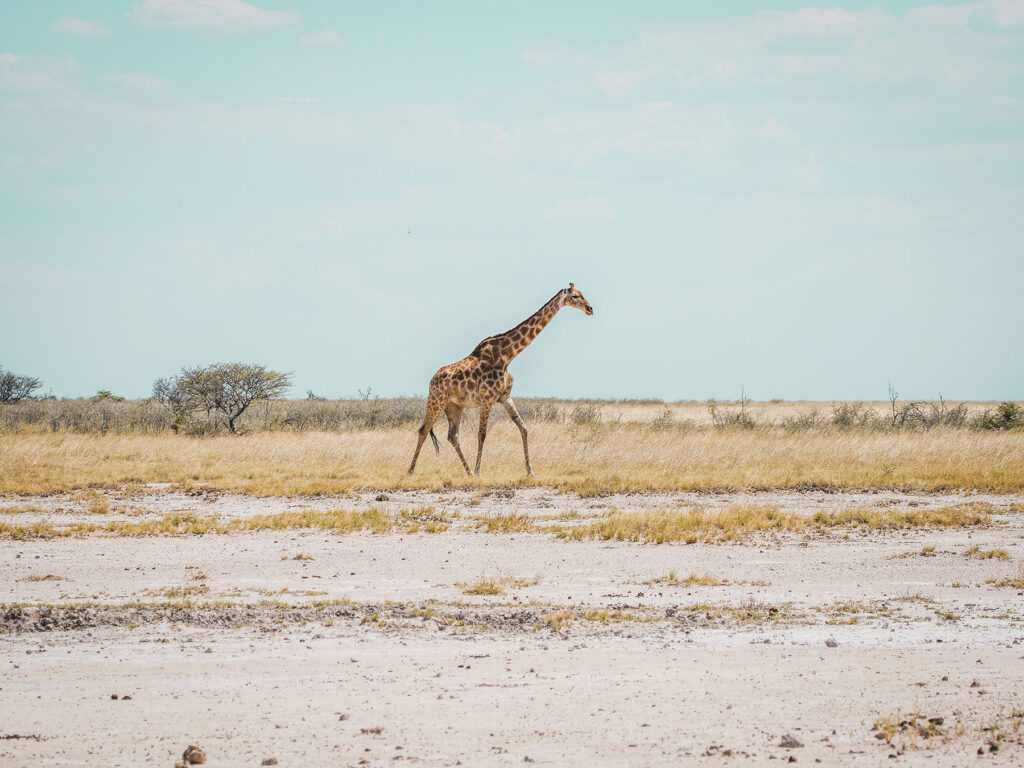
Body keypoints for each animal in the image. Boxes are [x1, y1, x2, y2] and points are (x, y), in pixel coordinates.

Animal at [408, 283, 595, 477]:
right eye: (575, 296)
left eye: (582, 294)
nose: (590, 309)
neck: (507, 356)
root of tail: (432, 380)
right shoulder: (487, 399)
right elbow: (482, 434)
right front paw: (480, 471)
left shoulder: (505, 397)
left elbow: (524, 428)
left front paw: (530, 471)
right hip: (436, 401)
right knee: (423, 429)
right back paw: (412, 470)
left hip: (454, 406)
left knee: (453, 436)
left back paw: (468, 472)